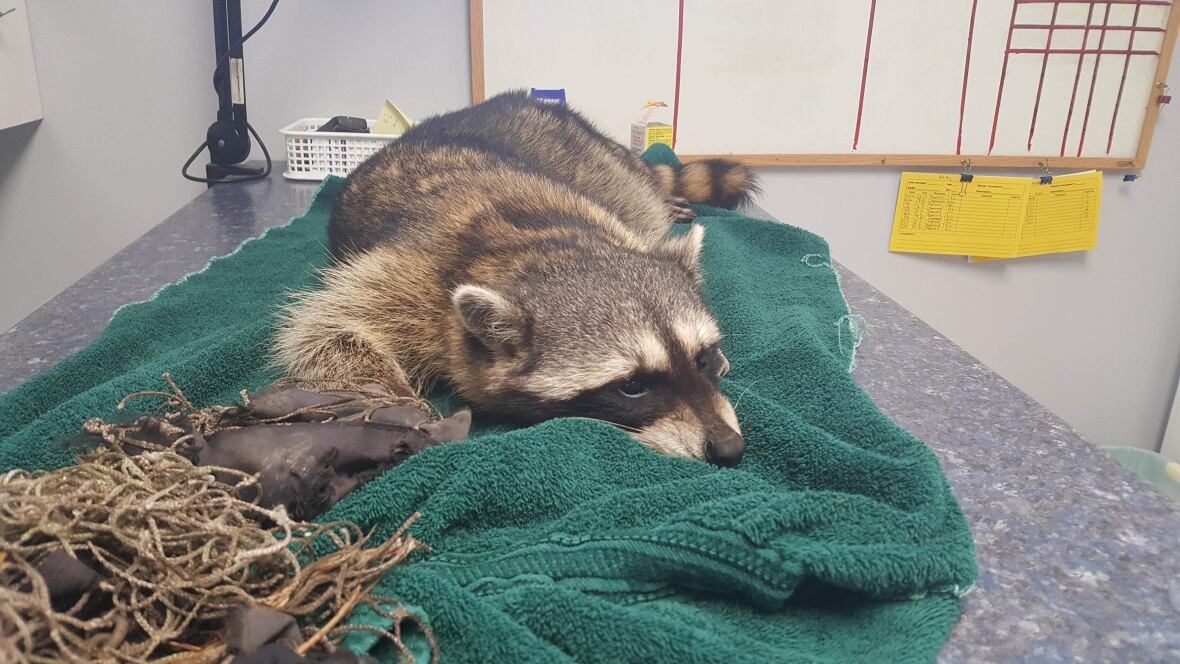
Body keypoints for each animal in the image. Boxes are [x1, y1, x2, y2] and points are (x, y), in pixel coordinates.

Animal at [273, 91, 758, 466]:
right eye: (632, 386)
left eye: (700, 358)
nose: (729, 449)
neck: (550, 248)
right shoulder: (412, 278)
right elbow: (325, 328)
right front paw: (391, 395)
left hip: (606, 168)